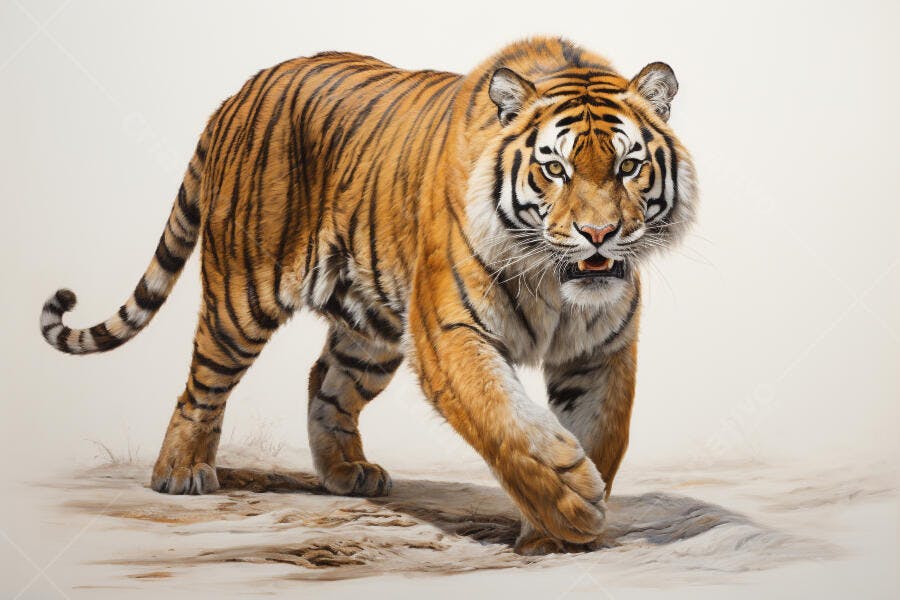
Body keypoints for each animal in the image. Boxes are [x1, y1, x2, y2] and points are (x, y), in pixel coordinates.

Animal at [39, 36, 697, 554]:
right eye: (555, 169)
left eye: (629, 165)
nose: (599, 234)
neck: (557, 286)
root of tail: (237, 95)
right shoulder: (450, 332)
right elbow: (505, 420)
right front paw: (571, 505)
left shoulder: (602, 352)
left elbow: (601, 433)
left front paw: (558, 528)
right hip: (242, 296)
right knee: (201, 384)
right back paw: (180, 472)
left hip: (373, 329)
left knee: (325, 381)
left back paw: (346, 472)